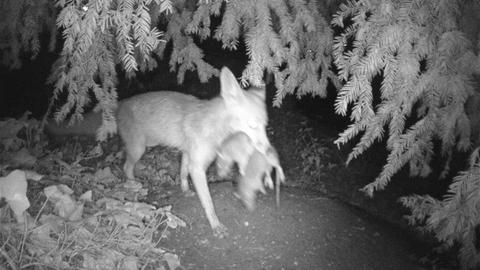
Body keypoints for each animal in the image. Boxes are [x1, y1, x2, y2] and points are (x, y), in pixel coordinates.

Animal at [116, 67, 272, 236]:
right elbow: (208, 202)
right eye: (252, 125)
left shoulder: (188, 153)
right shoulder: (197, 166)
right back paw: (133, 187)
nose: (269, 151)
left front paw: (185, 190)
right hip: (138, 149)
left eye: (265, 126)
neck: (213, 127)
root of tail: (121, 103)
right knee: (126, 167)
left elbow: (183, 173)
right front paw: (216, 225)